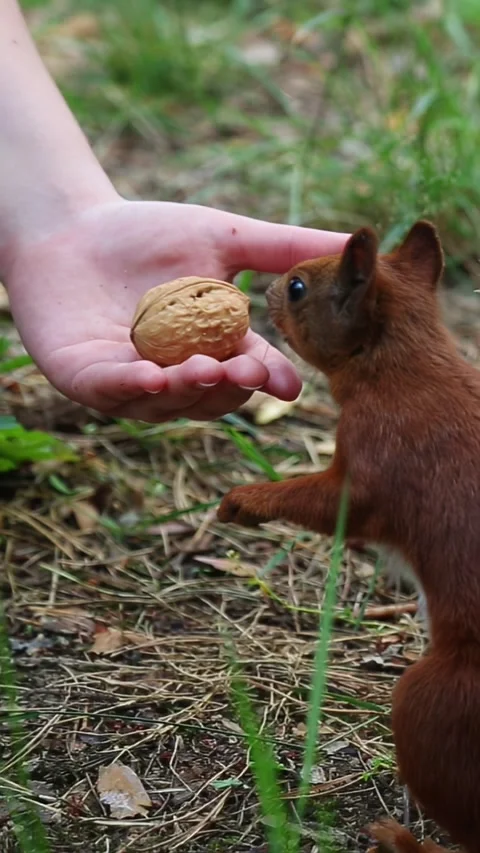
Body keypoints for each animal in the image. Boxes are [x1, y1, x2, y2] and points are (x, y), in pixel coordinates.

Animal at [217, 220, 480, 853]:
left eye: (297, 288)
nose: (262, 291)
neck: (405, 363)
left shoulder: (374, 460)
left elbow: (329, 503)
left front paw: (247, 499)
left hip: (432, 704)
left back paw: (403, 840)